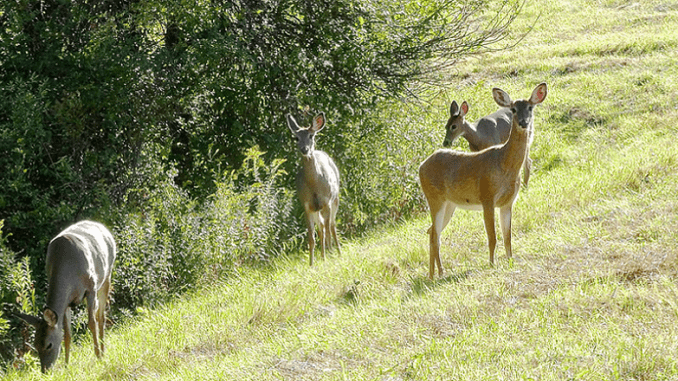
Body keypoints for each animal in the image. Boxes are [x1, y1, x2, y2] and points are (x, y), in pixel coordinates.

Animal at [13, 220, 115, 372]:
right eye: (35, 345)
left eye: (49, 345)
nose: (45, 370)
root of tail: (101, 225)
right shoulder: (67, 302)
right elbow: (67, 333)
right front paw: (67, 365)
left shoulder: (91, 288)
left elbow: (92, 323)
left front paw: (98, 358)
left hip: (106, 276)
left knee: (101, 317)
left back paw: (103, 351)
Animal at [286, 110, 340, 264]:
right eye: (296, 138)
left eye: (311, 135)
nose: (304, 149)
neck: (314, 185)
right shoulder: (306, 205)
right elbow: (311, 238)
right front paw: (312, 264)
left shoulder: (327, 201)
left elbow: (328, 230)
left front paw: (331, 255)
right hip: (317, 209)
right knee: (321, 228)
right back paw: (323, 256)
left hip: (335, 199)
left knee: (332, 226)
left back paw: (337, 253)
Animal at [422, 82, 548, 280]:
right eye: (513, 109)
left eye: (530, 107)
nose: (523, 122)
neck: (504, 165)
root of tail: (421, 166)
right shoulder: (487, 197)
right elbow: (492, 236)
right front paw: (491, 264)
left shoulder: (508, 202)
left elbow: (507, 236)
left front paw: (510, 260)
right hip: (435, 198)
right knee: (434, 234)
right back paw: (440, 273)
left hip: (450, 204)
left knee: (431, 231)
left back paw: (432, 274)